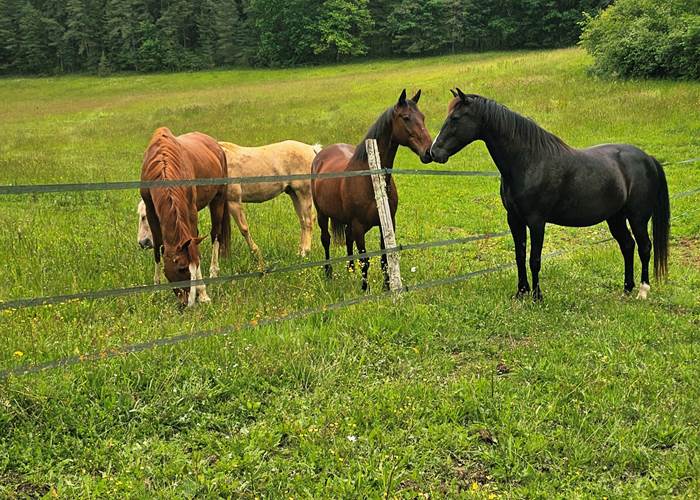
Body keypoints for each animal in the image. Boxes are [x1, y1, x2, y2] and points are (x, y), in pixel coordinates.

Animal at [137, 141, 320, 259]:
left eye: (145, 217)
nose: (143, 242)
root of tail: (312, 149)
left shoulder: (233, 202)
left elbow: (243, 229)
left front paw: (255, 253)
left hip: (303, 193)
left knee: (308, 221)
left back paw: (305, 252)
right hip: (294, 193)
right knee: (303, 222)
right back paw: (300, 251)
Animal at [140, 127, 231, 307]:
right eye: (181, 268)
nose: (188, 302)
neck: (162, 165)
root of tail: (215, 144)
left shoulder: (190, 209)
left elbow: (195, 248)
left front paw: (203, 294)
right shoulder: (151, 210)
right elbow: (157, 247)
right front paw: (156, 289)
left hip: (218, 199)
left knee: (215, 234)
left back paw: (214, 272)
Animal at [311, 89, 433, 291]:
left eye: (422, 117)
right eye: (406, 117)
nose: (428, 152)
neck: (372, 180)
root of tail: (319, 155)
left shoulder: (387, 224)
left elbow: (384, 258)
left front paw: (387, 287)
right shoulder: (359, 226)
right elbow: (365, 260)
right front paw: (365, 289)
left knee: (348, 240)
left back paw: (350, 270)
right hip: (322, 215)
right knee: (326, 240)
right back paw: (328, 273)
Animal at [430, 88, 670, 301]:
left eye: (455, 118)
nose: (434, 152)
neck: (529, 161)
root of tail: (647, 158)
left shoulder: (537, 221)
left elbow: (534, 259)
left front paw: (537, 296)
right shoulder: (514, 219)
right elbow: (519, 256)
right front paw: (521, 293)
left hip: (637, 218)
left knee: (644, 247)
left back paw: (642, 291)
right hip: (616, 217)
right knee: (627, 246)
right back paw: (626, 289)